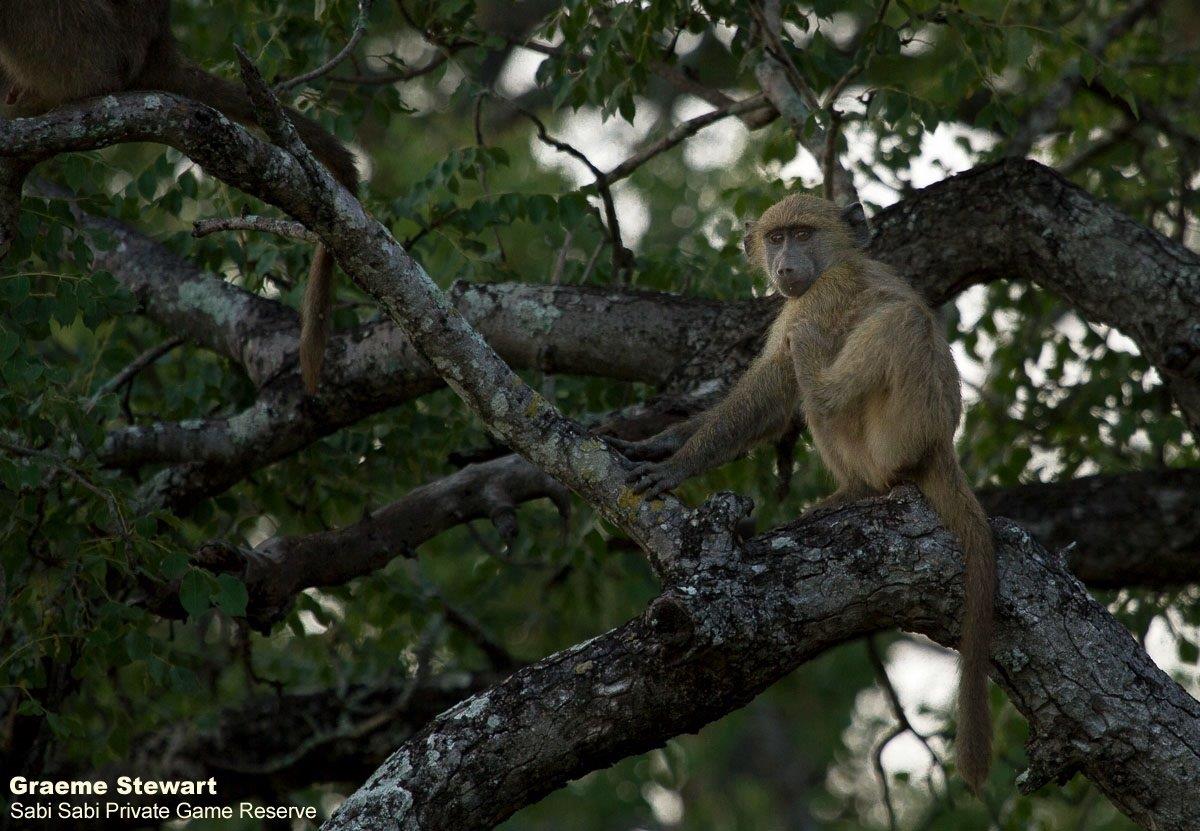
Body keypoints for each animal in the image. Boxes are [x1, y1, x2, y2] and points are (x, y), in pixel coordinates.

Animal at [612, 193, 996, 795]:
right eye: (776, 237)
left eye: (802, 233)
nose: (784, 265)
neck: (837, 261)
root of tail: (939, 447)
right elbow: (765, 402)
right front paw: (660, 444)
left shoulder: (818, 298)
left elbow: (772, 385)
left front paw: (677, 465)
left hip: (888, 435)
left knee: (889, 329)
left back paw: (845, 455)